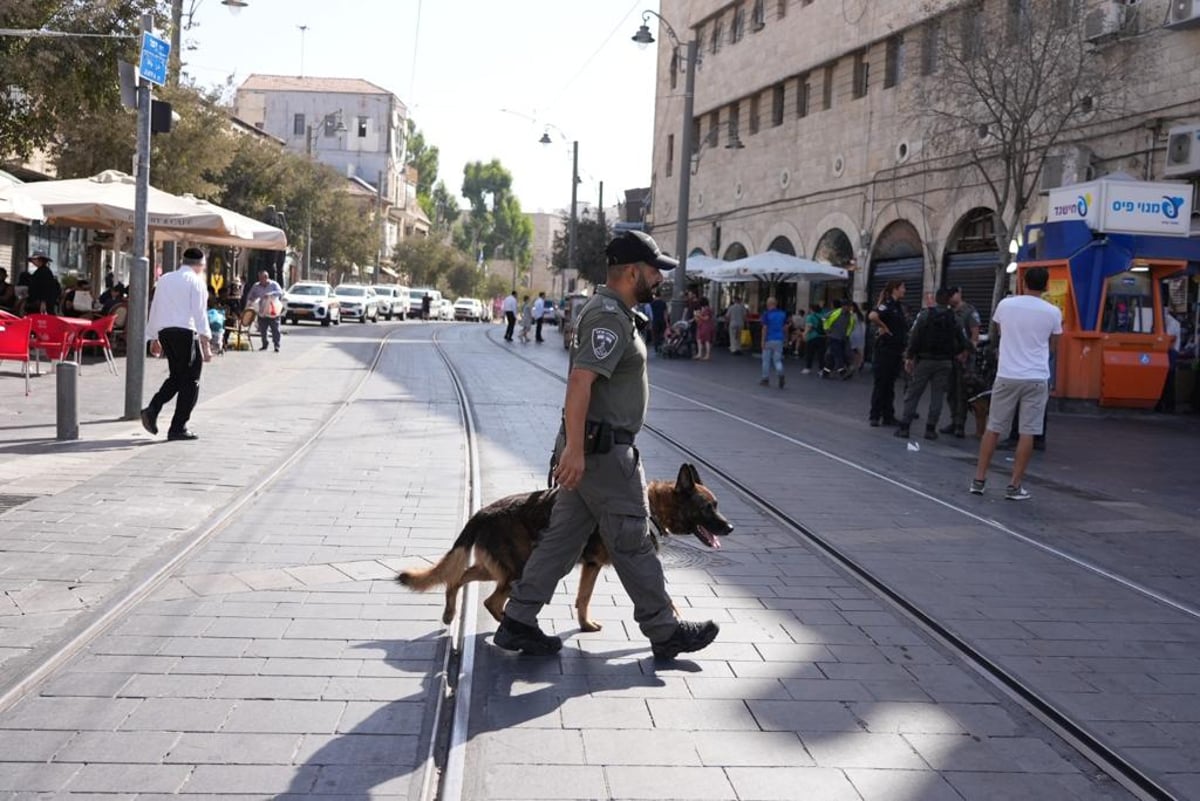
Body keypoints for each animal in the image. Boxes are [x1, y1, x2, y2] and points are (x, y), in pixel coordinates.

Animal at [396, 462, 729, 633]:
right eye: (708, 507)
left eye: (717, 505)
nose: (730, 528)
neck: (651, 506)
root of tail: (481, 513)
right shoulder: (620, 561)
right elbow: (663, 595)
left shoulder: (592, 566)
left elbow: (583, 598)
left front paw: (584, 624)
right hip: (516, 570)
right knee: (491, 601)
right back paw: (516, 629)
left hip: (497, 569)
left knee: (457, 579)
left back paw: (451, 613)